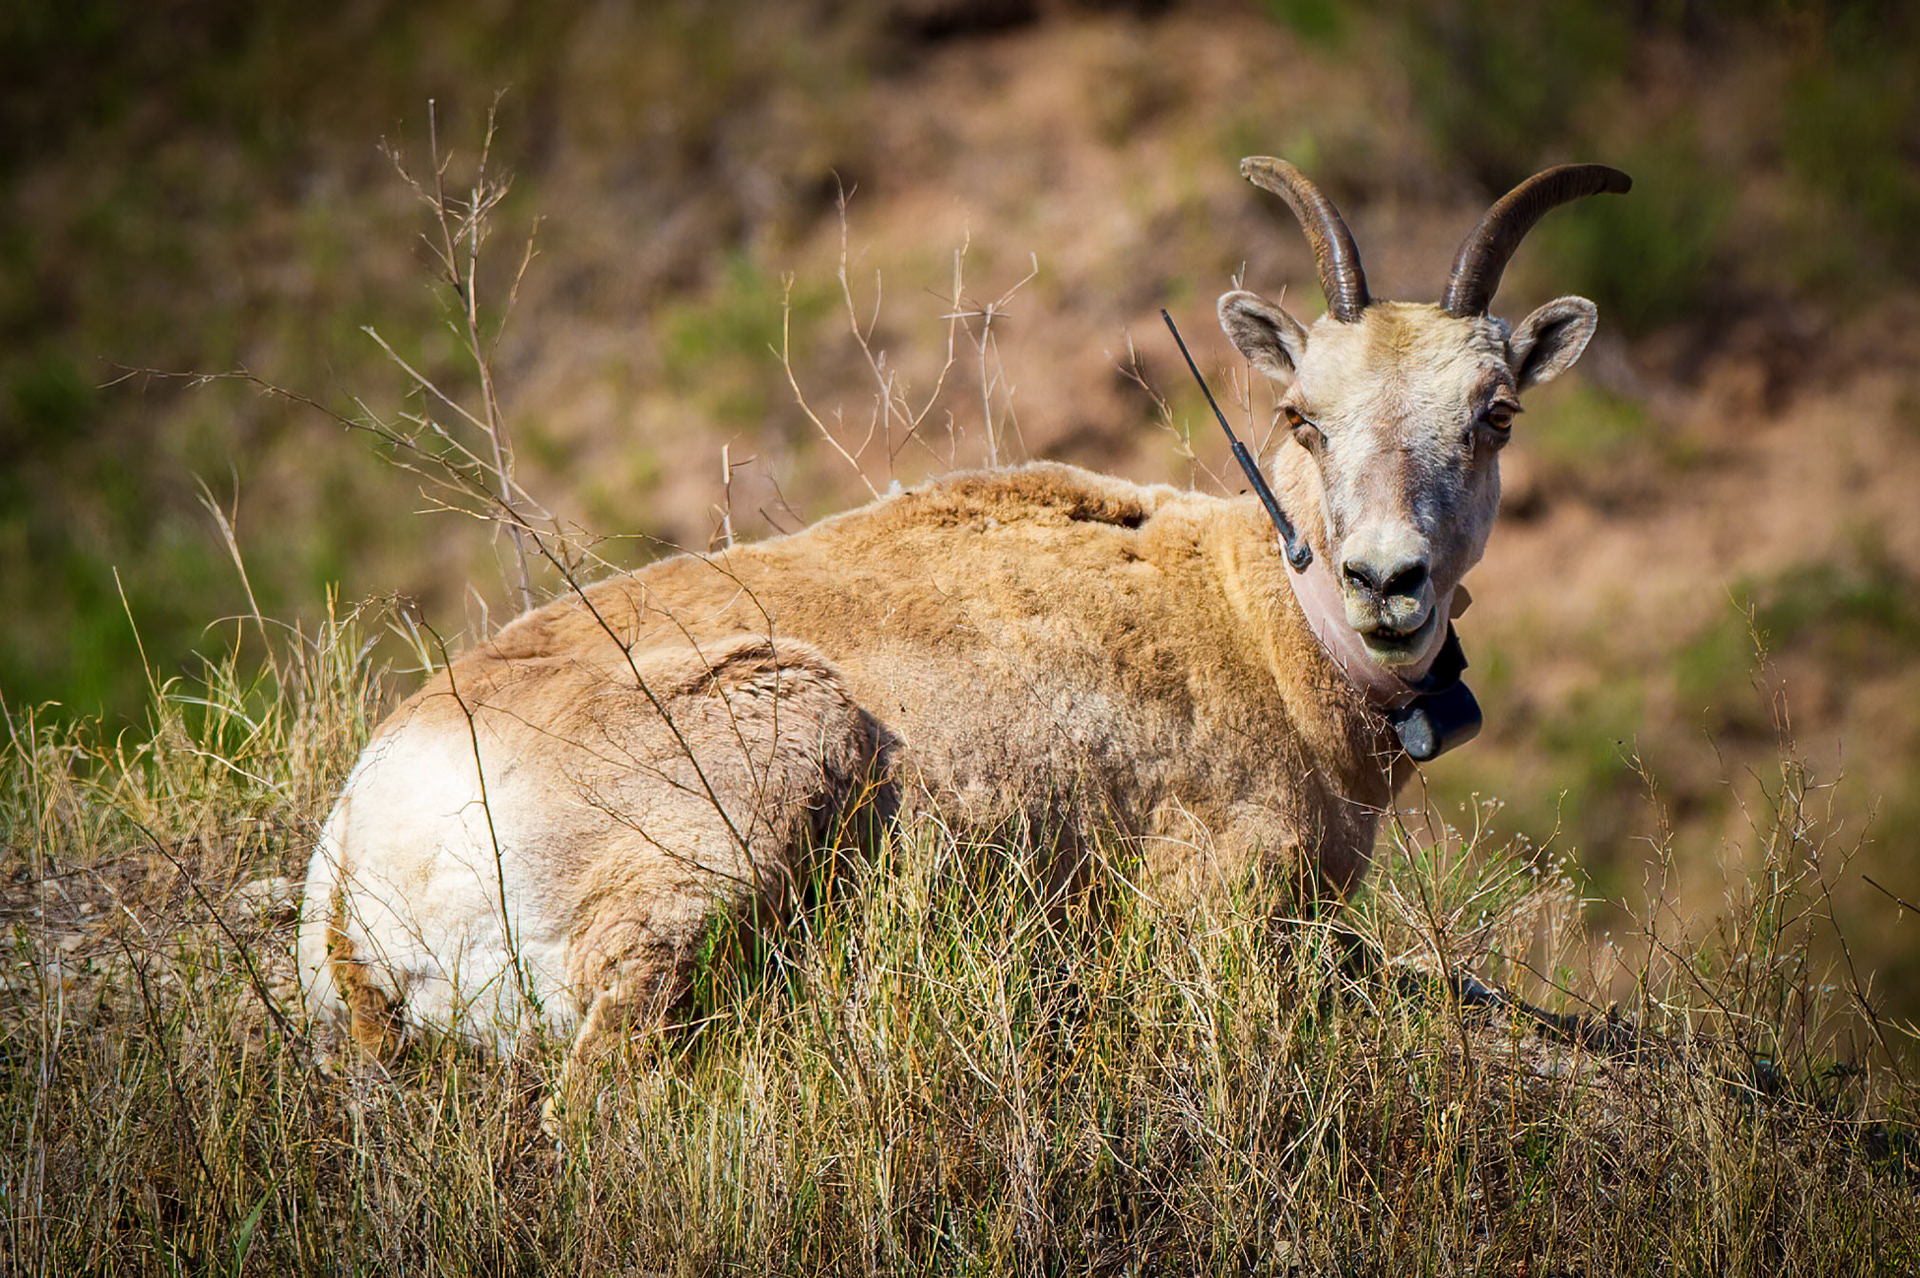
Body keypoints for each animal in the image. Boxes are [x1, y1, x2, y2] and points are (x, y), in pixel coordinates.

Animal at [297, 157, 1631, 1096]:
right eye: (1302, 414)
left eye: (1496, 411)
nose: (1386, 582)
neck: (1257, 626)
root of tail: (365, 865)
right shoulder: (1221, 916)